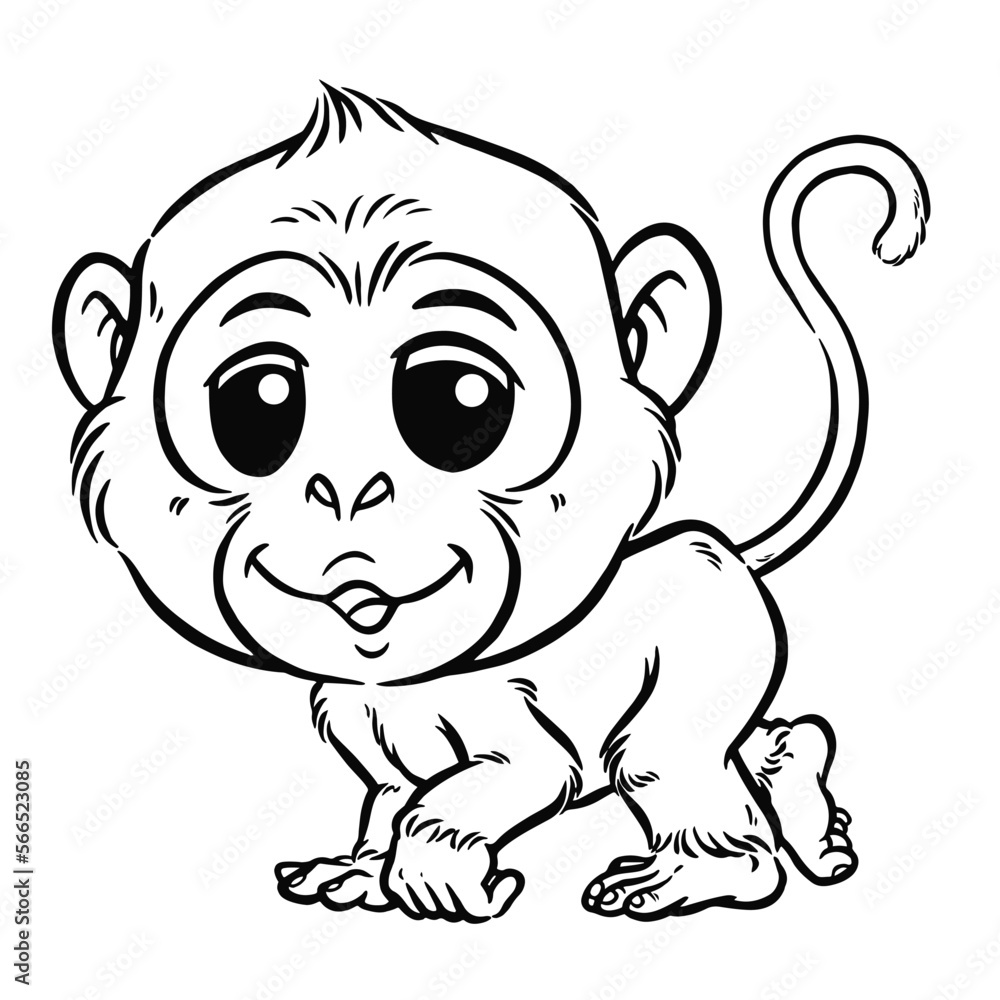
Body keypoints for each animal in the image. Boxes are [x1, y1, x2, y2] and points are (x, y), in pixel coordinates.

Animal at [53, 84, 928, 922]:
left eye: (459, 401)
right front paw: (358, 875)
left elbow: (477, 792)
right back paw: (808, 800)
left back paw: (680, 880)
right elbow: (390, 802)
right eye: (257, 406)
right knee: (757, 745)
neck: (401, 684)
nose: (349, 492)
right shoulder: (365, 736)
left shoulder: (516, 739)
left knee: (675, 775)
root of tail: (711, 544)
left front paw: (441, 885)